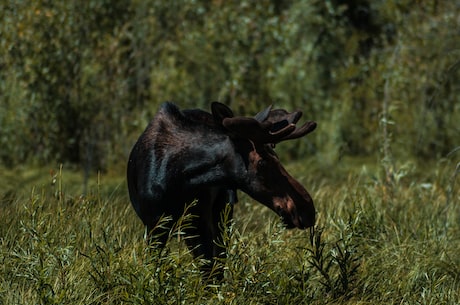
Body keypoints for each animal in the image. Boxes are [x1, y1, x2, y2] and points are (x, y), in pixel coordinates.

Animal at [127, 101, 318, 276]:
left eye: (276, 155)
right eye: (262, 162)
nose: (308, 209)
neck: (178, 177)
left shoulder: (199, 223)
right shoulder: (154, 225)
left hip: (222, 214)